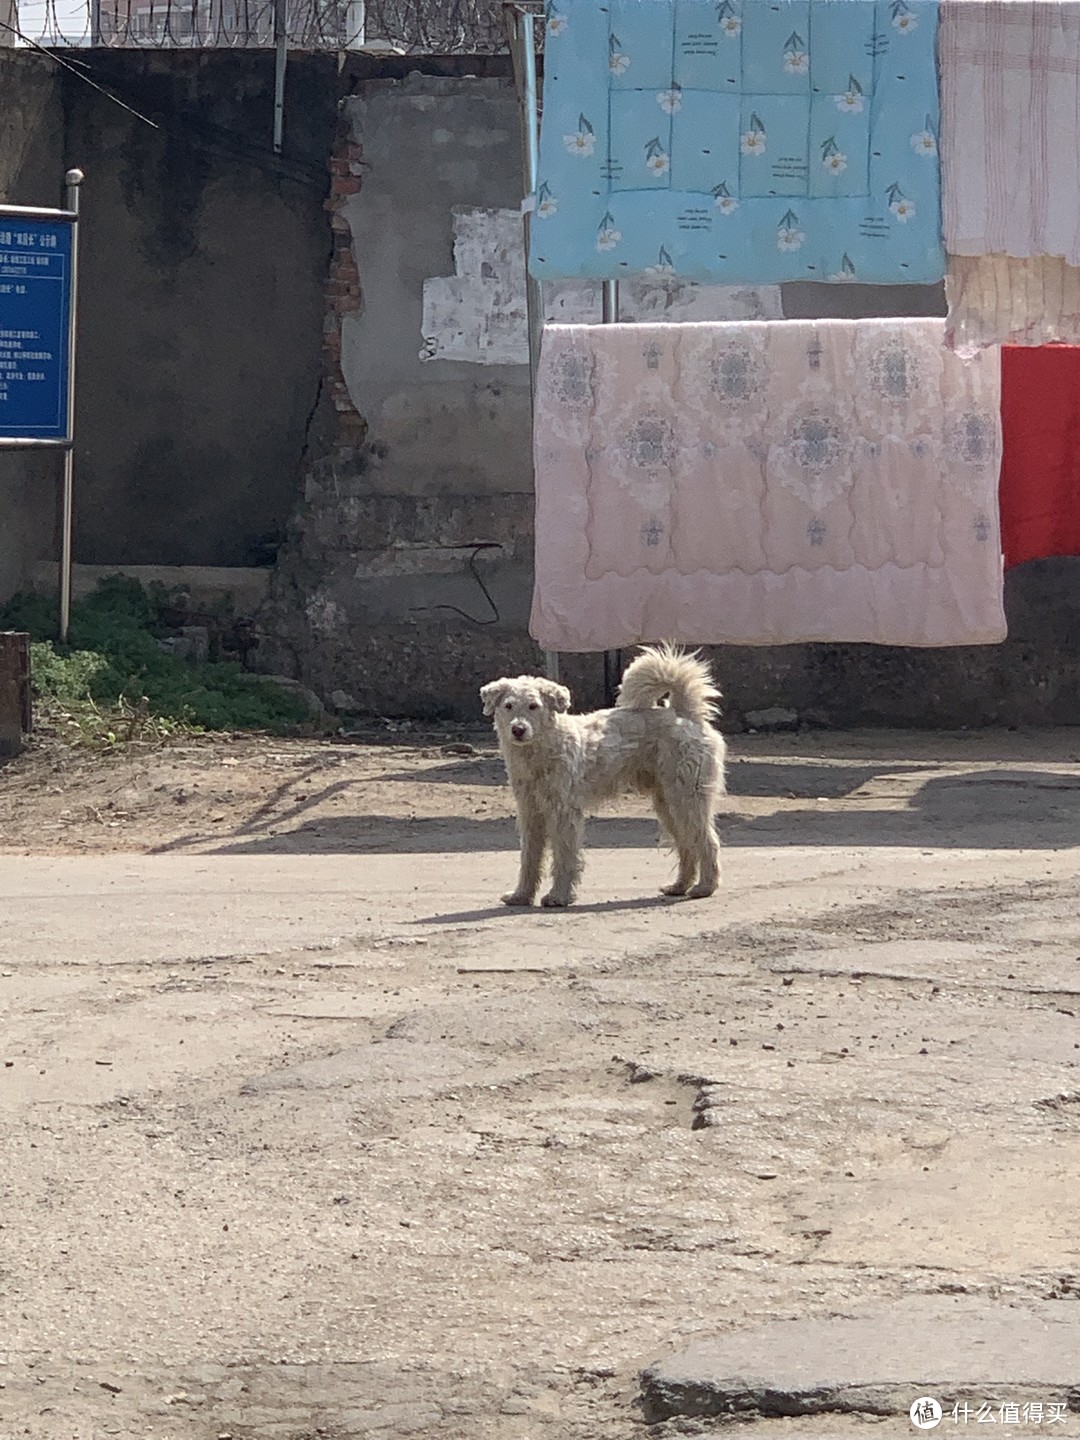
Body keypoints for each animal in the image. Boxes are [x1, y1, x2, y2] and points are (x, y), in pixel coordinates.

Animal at [480, 645, 728, 904]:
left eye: (533, 706)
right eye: (508, 706)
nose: (518, 730)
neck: (542, 749)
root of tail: (685, 713)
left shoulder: (563, 813)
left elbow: (564, 857)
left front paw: (559, 896)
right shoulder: (530, 813)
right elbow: (529, 858)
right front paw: (521, 895)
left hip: (687, 798)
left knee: (708, 842)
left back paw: (705, 887)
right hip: (668, 804)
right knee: (687, 844)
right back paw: (679, 886)